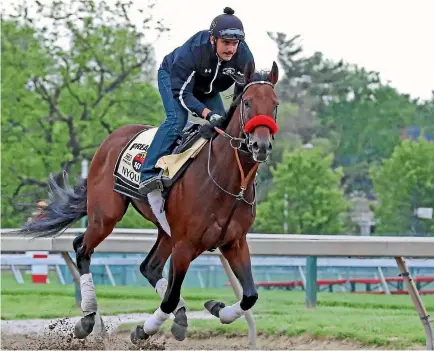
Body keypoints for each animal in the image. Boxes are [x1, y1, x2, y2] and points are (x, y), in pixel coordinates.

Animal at [17, 59, 280, 344]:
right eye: (247, 102)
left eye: (275, 104)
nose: (260, 145)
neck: (228, 180)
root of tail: (112, 138)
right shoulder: (185, 245)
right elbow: (171, 297)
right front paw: (144, 329)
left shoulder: (234, 242)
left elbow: (250, 295)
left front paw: (217, 307)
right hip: (106, 215)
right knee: (82, 247)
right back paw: (87, 318)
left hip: (165, 230)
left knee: (149, 267)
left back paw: (180, 315)